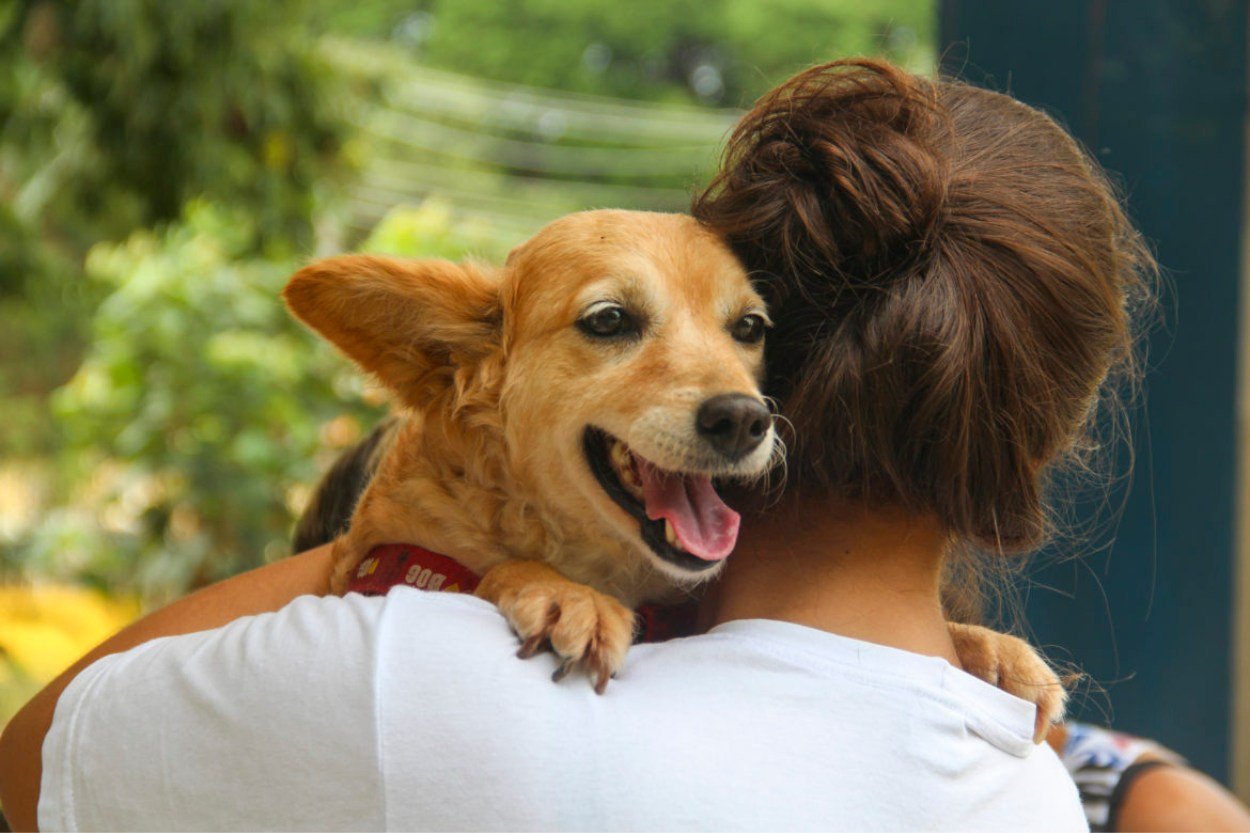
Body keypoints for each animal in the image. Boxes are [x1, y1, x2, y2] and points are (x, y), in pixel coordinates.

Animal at [283, 207, 1065, 735]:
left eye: (749, 328)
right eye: (608, 320)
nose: (745, 419)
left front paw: (992, 649)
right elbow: (489, 572)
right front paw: (562, 594)